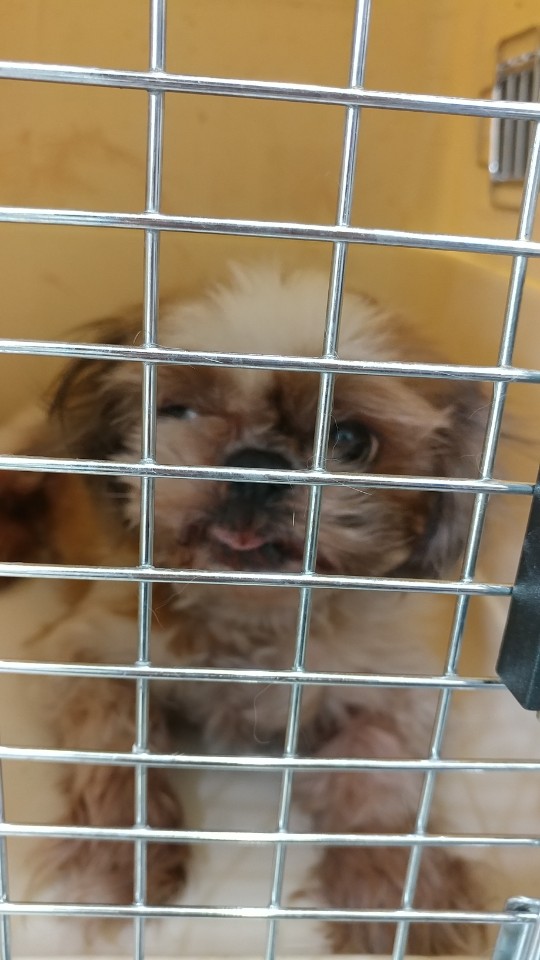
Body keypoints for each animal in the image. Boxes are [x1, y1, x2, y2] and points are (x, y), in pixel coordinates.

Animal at [0, 264, 488, 953]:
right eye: (178, 409)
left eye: (349, 439)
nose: (257, 465)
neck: (254, 616)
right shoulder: (79, 660)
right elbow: (120, 751)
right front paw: (125, 863)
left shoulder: (399, 691)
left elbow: (377, 774)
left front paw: (388, 891)